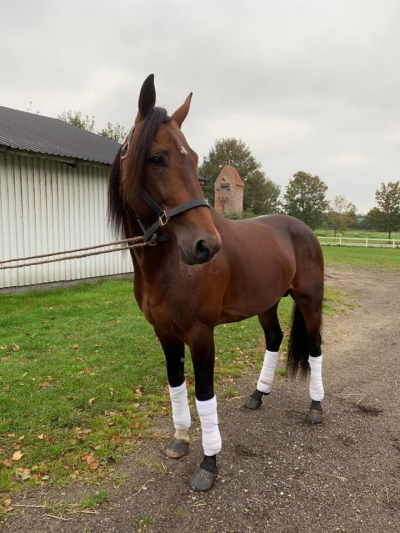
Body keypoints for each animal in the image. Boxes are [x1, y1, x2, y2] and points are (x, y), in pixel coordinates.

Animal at [108, 74, 325, 492]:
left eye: (193, 159)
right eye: (157, 158)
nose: (205, 246)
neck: (168, 267)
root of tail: (302, 228)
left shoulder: (200, 333)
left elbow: (205, 394)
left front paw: (209, 462)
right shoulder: (165, 333)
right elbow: (176, 385)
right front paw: (179, 439)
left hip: (310, 300)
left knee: (316, 347)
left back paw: (316, 407)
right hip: (267, 303)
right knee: (274, 339)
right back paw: (258, 395)